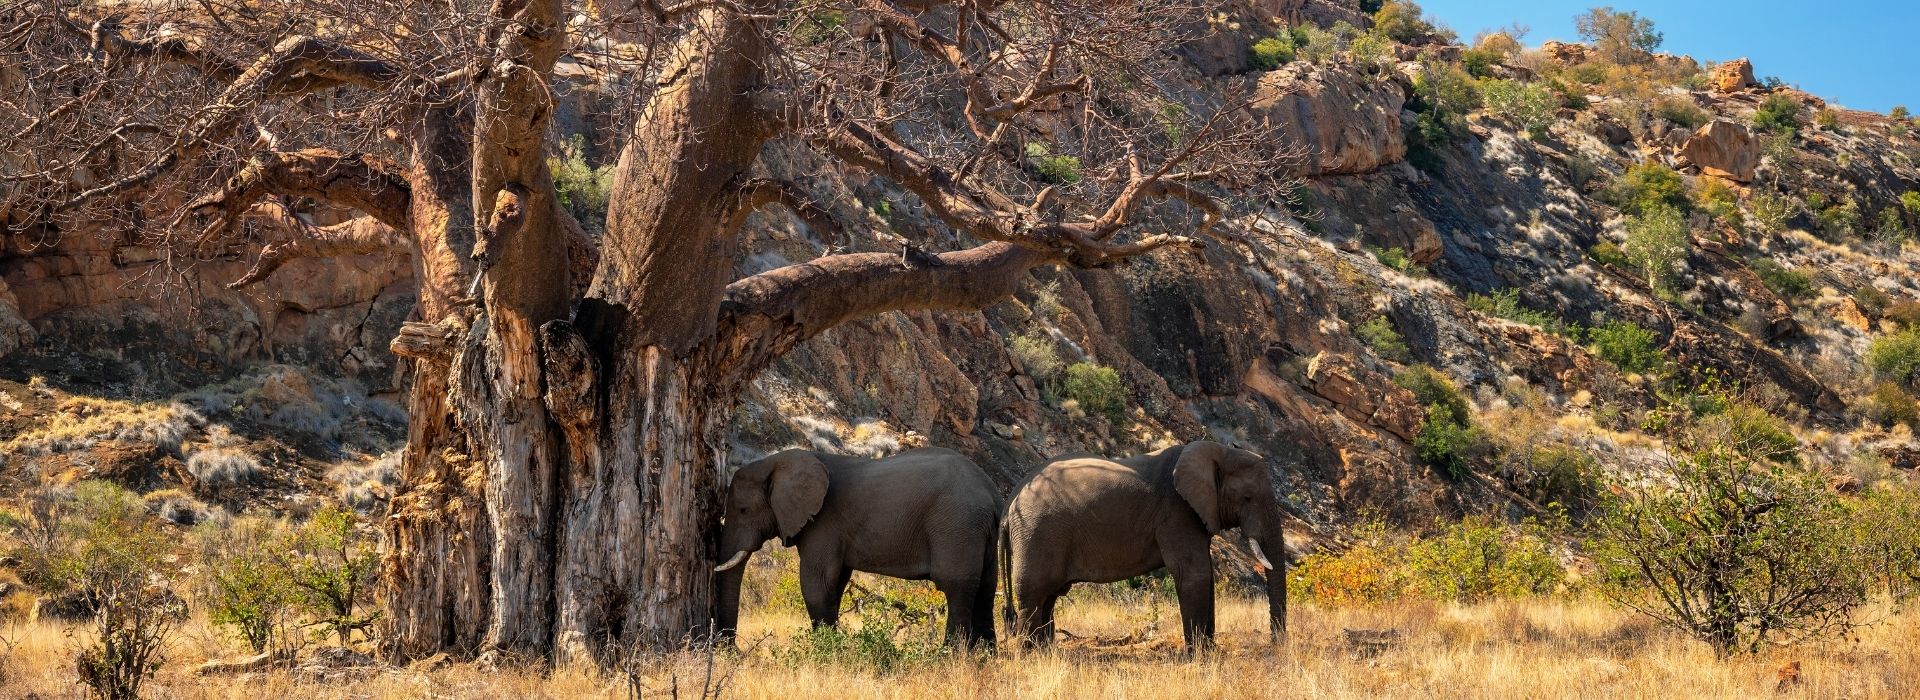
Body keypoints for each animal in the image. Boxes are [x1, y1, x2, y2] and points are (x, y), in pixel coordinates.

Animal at [711, 447, 1002, 648]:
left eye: (743, 510)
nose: (730, 649)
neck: (778, 461)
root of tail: (991, 492)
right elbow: (835, 583)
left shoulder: (823, 522)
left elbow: (817, 582)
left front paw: (826, 650)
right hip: (980, 531)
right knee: (986, 589)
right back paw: (984, 659)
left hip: (958, 524)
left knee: (956, 586)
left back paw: (951, 656)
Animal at [1002, 440, 1286, 650]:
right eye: (1247, 498)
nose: (1275, 644)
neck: (1217, 451)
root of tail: (1010, 501)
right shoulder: (1177, 512)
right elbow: (1194, 573)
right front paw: (1200, 656)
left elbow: (1205, 575)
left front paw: (1209, 651)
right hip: (1037, 534)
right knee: (1033, 595)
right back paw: (1030, 656)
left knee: (1048, 596)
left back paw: (1045, 653)